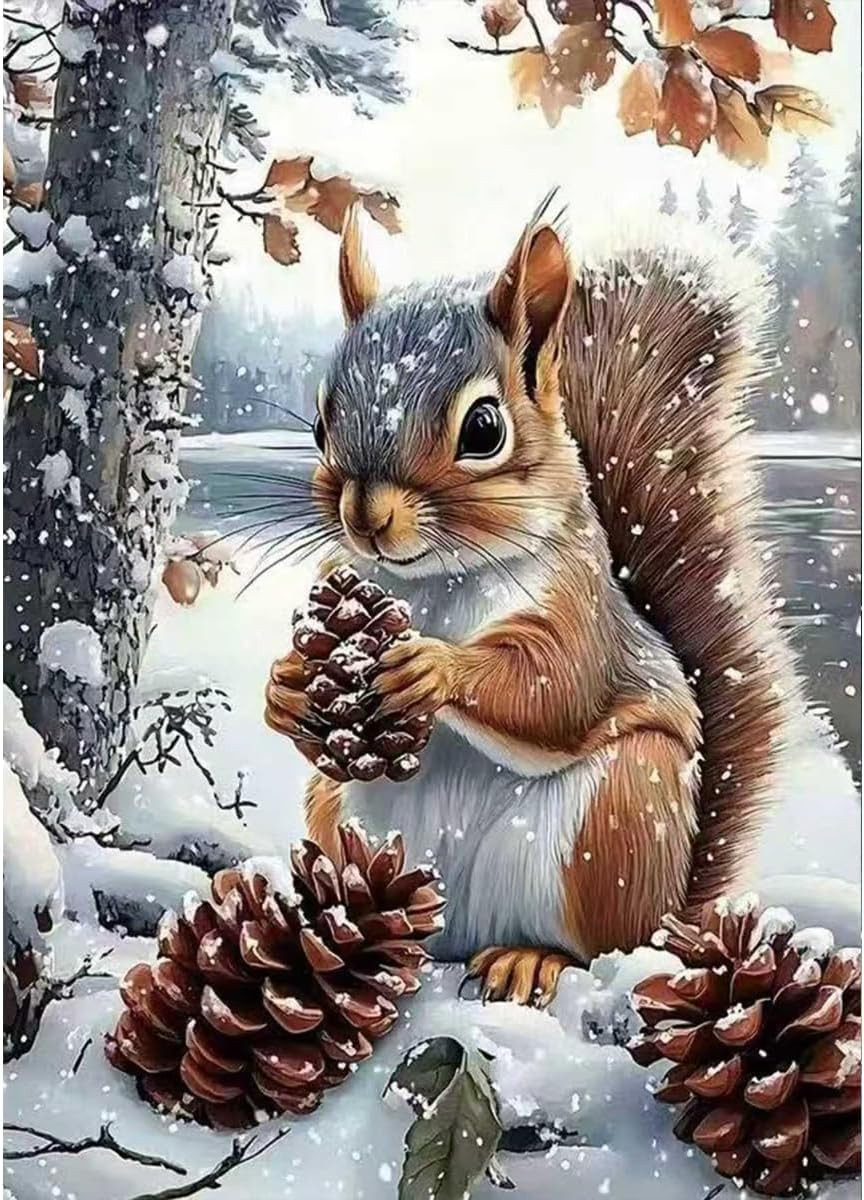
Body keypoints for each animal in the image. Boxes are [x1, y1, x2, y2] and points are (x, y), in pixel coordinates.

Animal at [265, 199, 799, 1007]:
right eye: (322, 422)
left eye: (485, 428)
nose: (366, 516)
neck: (436, 584)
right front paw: (289, 687)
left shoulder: (579, 614)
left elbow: (552, 691)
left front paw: (432, 668)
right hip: (336, 812)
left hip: (615, 820)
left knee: (596, 946)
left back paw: (530, 958)